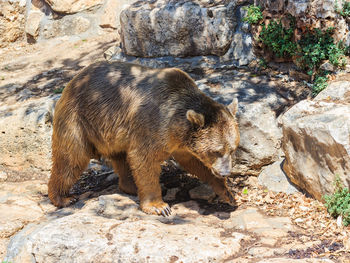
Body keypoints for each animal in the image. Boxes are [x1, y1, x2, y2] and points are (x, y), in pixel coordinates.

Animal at [48, 60, 241, 218]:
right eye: (216, 151)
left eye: (232, 149)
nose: (226, 172)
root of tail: (74, 80)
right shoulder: (151, 124)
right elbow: (144, 160)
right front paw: (159, 206)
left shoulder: (180, 141)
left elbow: (194, 162)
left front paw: (227, 193)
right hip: (80, 119)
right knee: (72, 157)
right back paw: (63, 198)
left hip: (114, 133)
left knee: (121, 158)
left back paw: (131, 186)